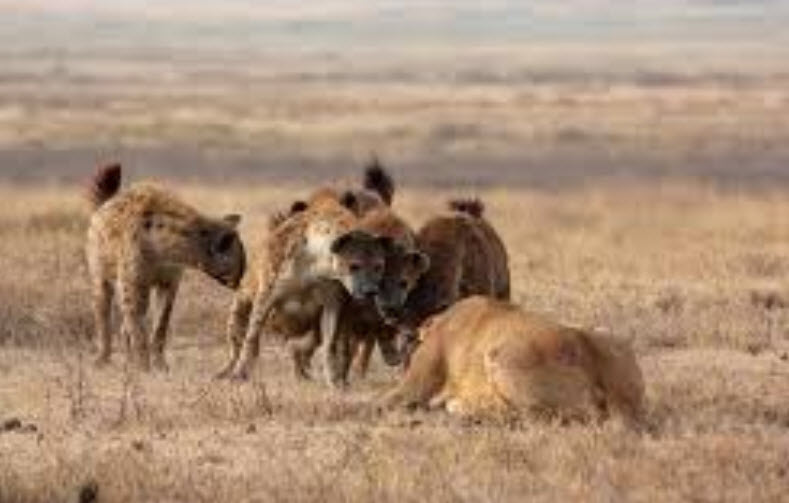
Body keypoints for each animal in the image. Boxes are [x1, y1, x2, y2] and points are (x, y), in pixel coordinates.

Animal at [85, 163, 245, 370]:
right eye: (241, 264)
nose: (241, 281)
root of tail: (105, 204)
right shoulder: (134, 281)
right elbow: (137, 324)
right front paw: (143, 366)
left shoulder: (169, 281)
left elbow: (161, 323)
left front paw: (160, 365)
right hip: (101, 271)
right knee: (103, 311)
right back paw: (102, 359)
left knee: (124, 324)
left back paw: (128, 362)